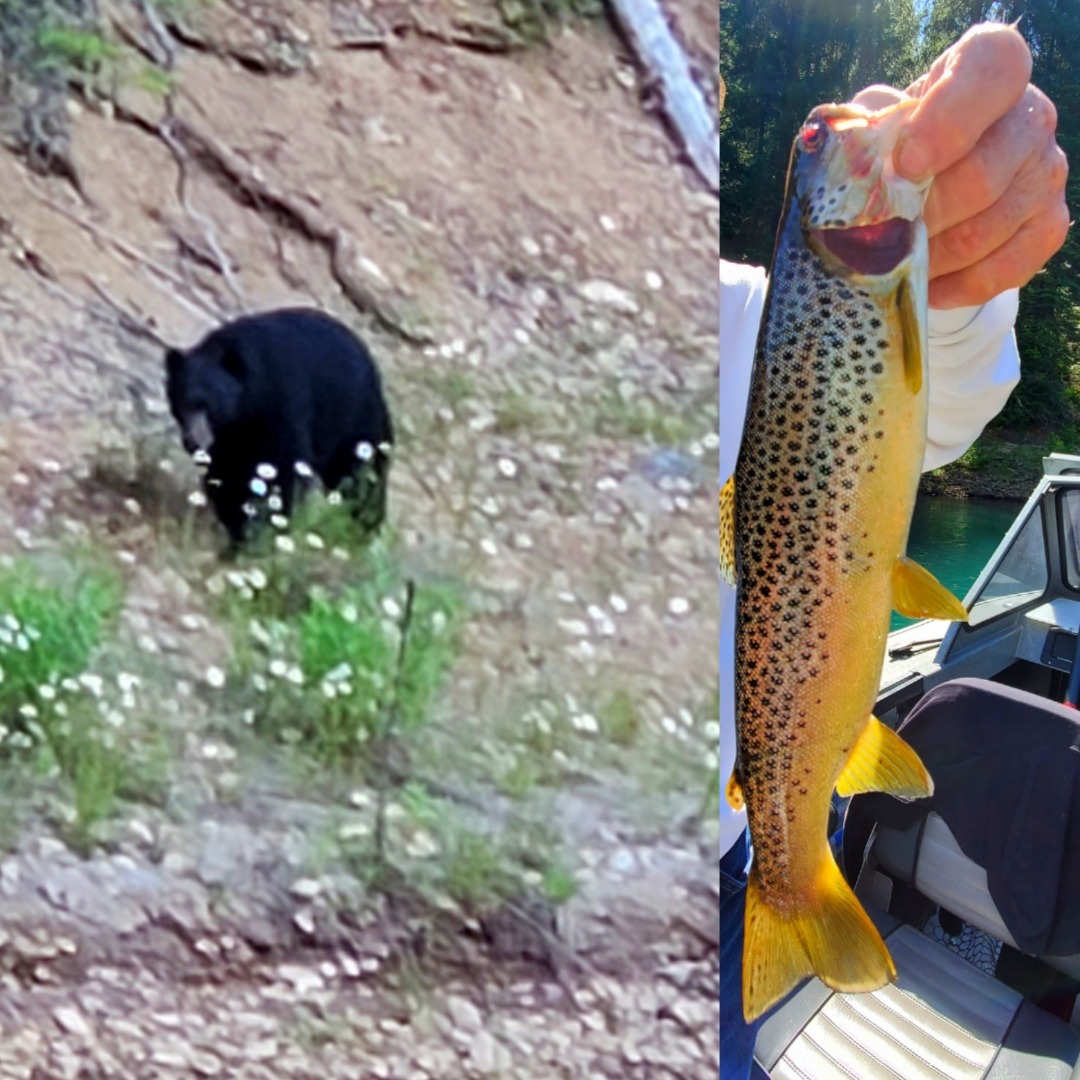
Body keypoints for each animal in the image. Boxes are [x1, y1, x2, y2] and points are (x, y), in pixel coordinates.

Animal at [164, 308, 393, 544]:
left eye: (206, 405)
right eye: (181, 403)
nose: (192, 441)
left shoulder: (281, 401)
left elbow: (283, 466)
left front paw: (263, 529)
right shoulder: (228, 438)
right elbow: (226, 472)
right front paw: (238, 527)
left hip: (355, 420)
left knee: (362, 476)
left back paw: (364, 527)